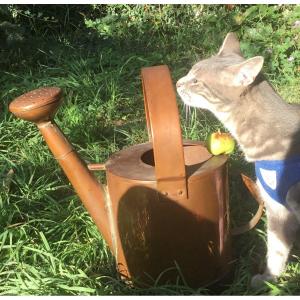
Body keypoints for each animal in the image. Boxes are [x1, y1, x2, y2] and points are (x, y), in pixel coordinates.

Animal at [176, 32, 300, 288]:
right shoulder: (277, 208)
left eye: (196, 81)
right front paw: (268, 279)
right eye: (190, 73)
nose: (178, 82)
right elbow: (276, 249)